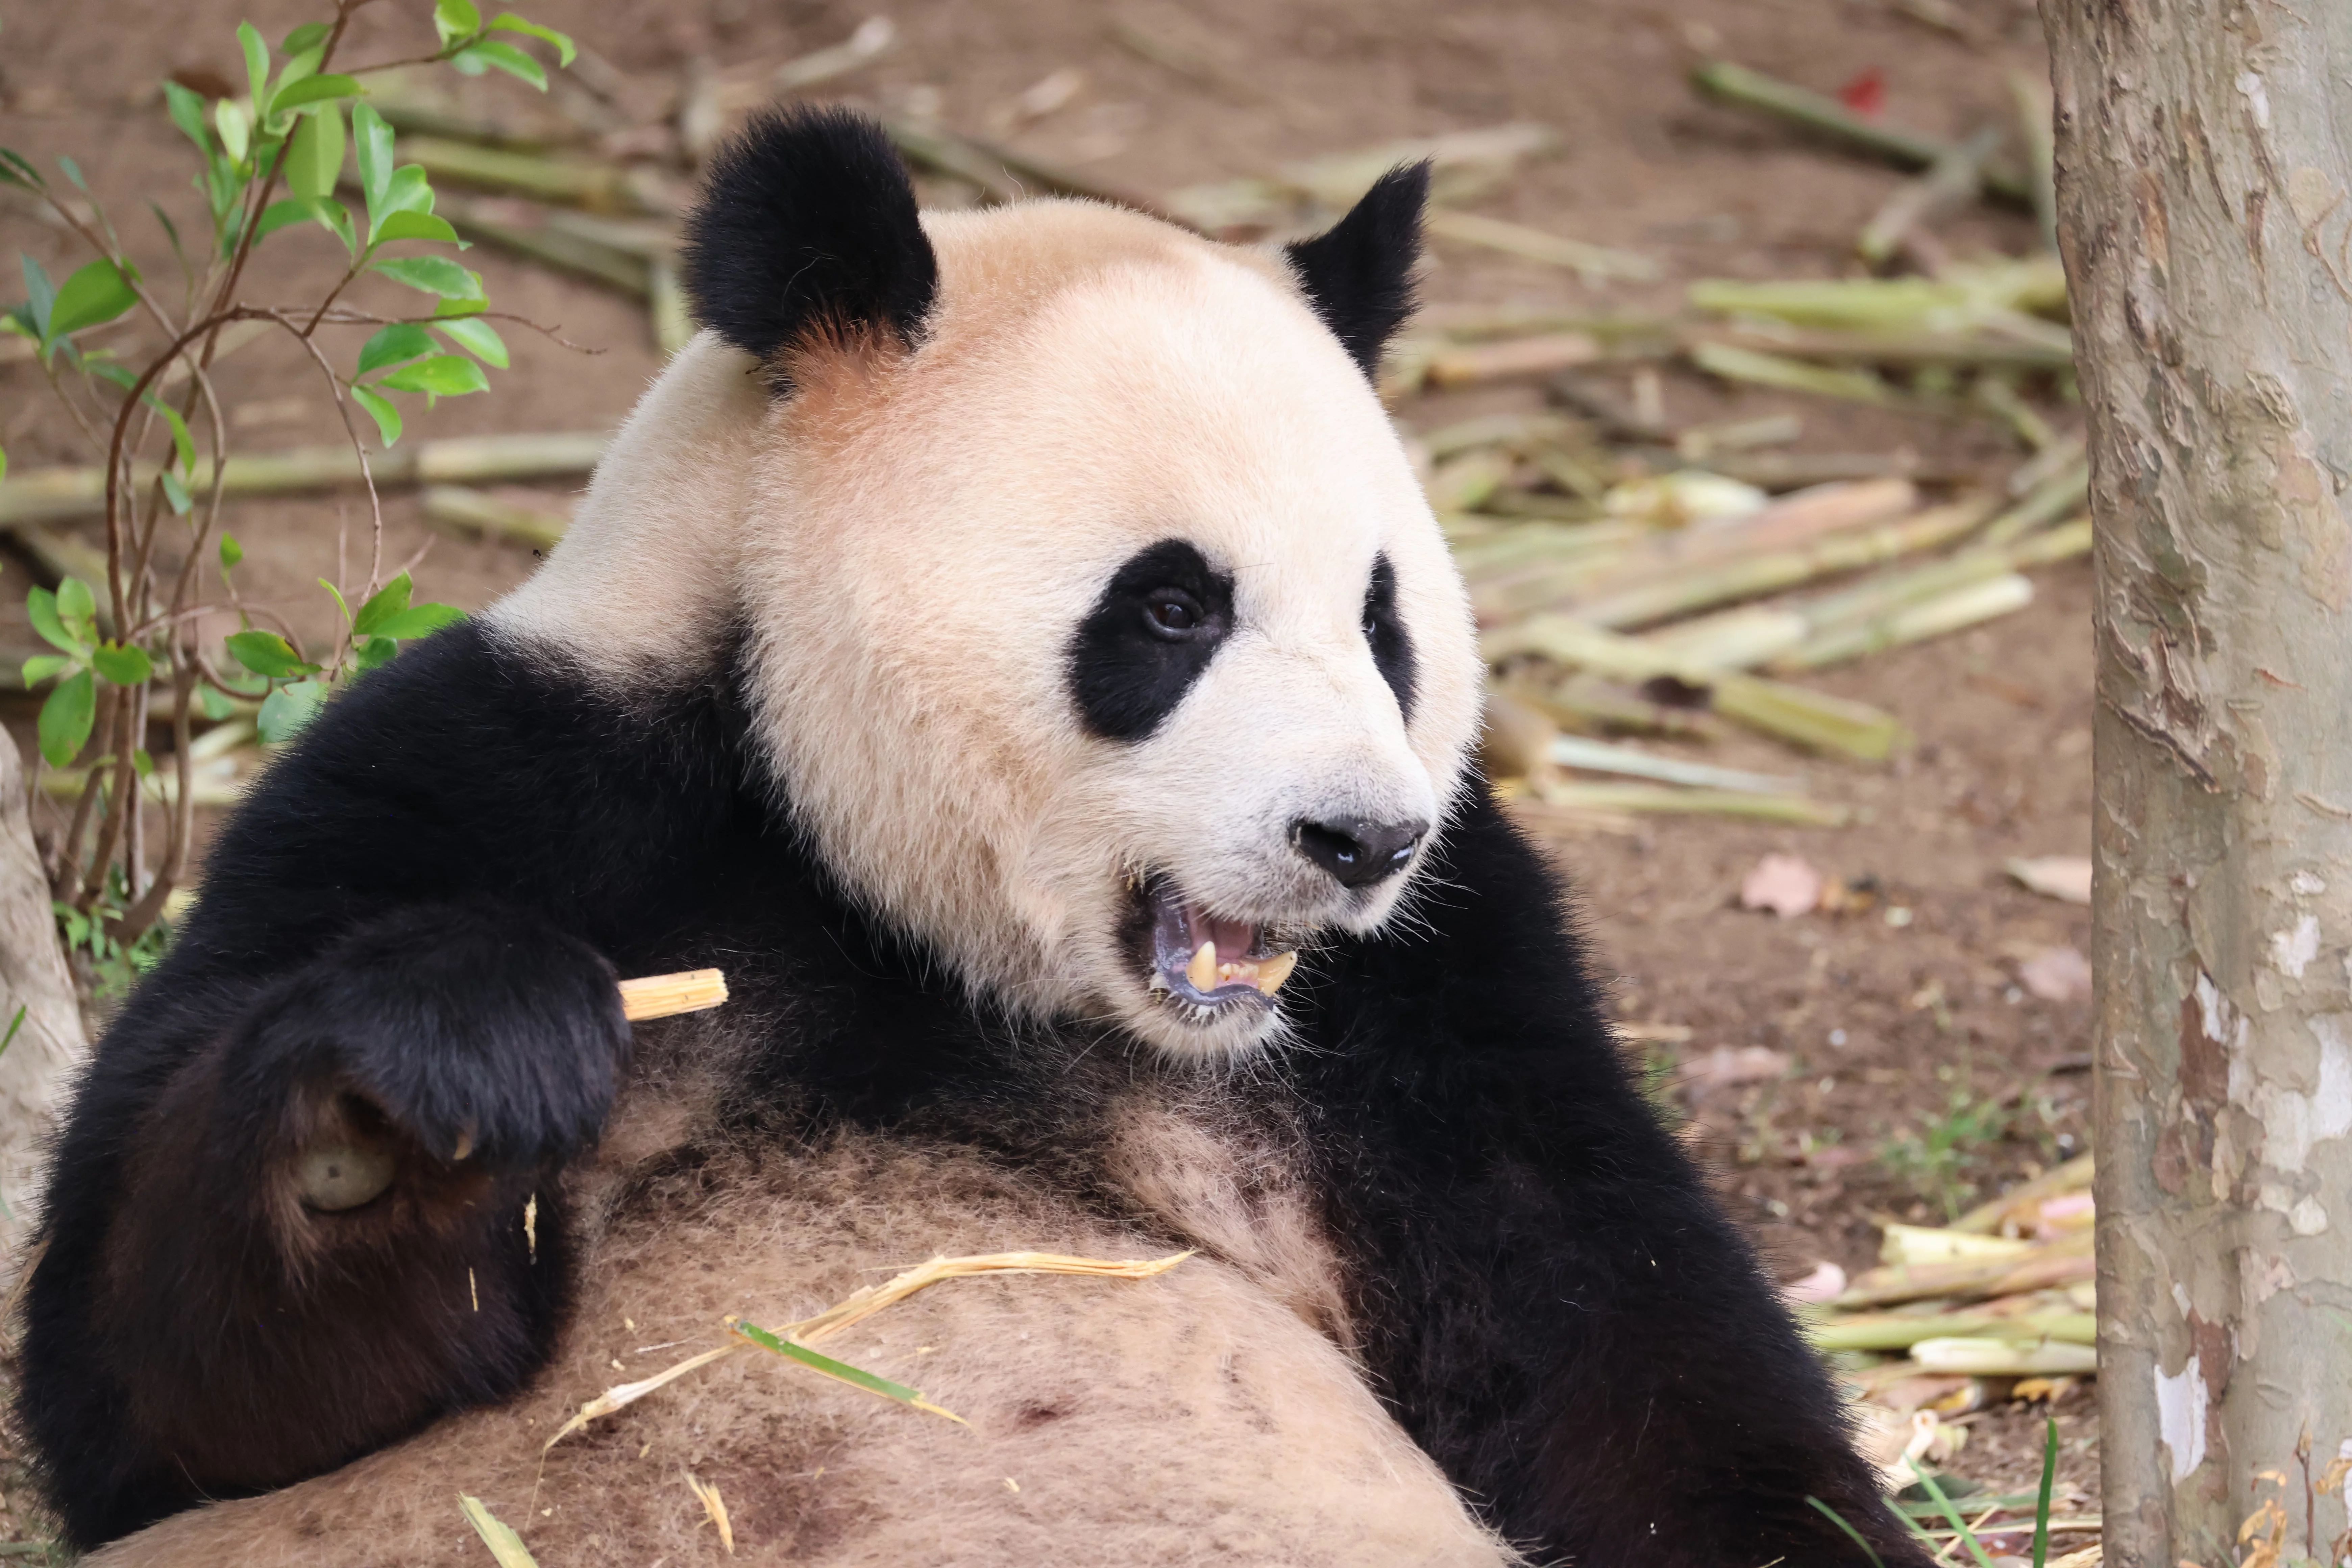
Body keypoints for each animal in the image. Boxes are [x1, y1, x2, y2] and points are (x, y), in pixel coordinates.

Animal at [18, 109, 1924, 1567]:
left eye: (1386, 620)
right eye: (1171, 607)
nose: (1361, 838)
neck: (898, 903)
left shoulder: (1436, 996)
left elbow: (1619, 1356)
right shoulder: (508, 779)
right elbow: (167, 1402)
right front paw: (414, 1094)